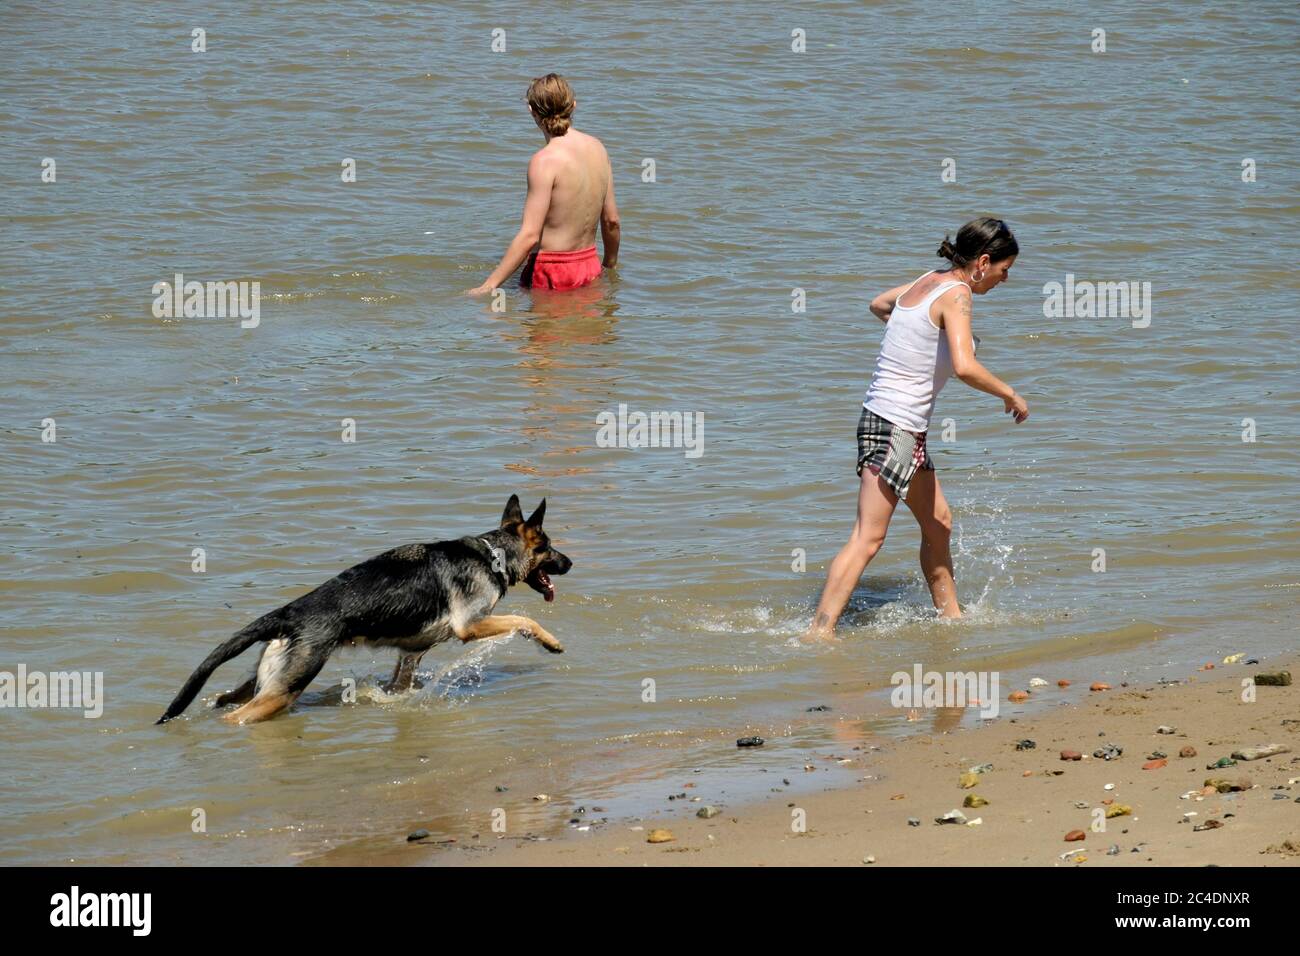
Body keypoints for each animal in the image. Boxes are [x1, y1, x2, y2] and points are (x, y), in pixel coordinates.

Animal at [156, 502, 569, 723]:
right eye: (549, 547)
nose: (571, 562)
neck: (492, 554)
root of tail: (288, 612)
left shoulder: (410, 654)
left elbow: (400, 685)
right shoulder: (470, 625)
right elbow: (524, 620)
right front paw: (550, 642)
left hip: (266, 680)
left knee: (226, 698)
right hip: (285, 689)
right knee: (234, 717)